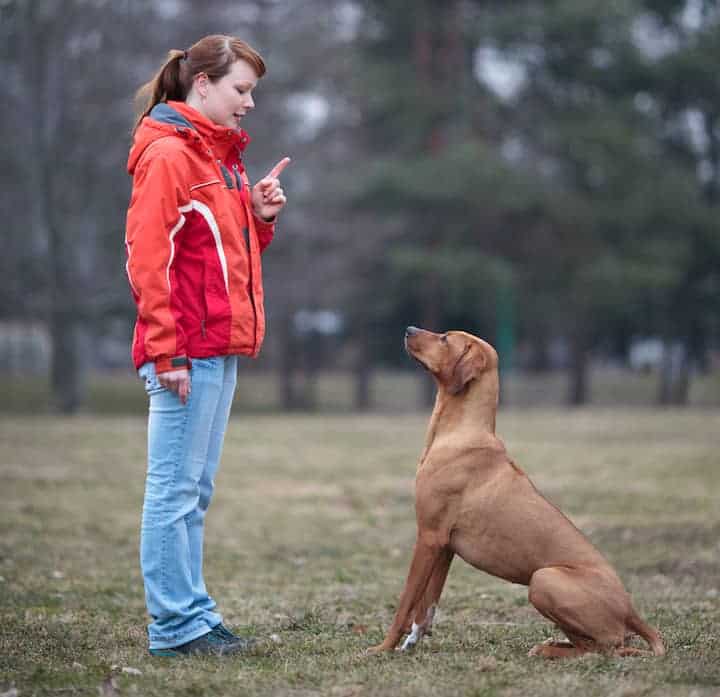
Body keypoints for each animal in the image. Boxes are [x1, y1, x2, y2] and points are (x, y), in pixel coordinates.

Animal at [368, 326, 668, 656]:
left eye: (445, 338)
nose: (408, 329)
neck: (461, 433)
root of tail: (631, 611)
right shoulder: (444, 546)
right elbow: (427, 605)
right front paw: (413, 640)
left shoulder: (429, 537)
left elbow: (405, 603)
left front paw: (383, 647)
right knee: (595, 644)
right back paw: (551, 646)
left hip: (544, 579)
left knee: (606, 646)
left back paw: (550, 650)